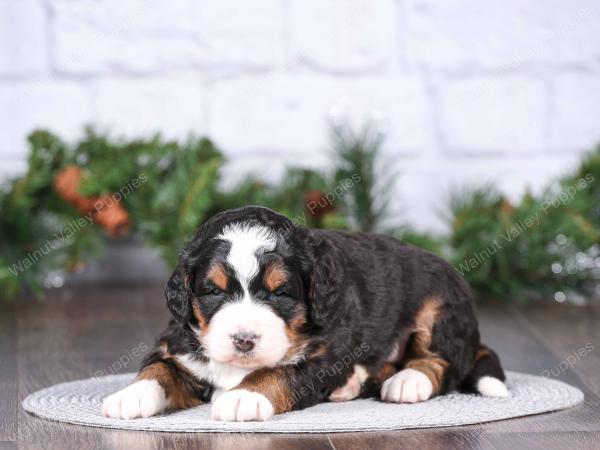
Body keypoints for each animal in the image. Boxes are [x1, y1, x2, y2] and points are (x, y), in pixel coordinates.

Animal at [102, 206, 506, 420]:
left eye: (281, 293)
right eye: (213, 291)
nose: (244, 340)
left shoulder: (324, 356)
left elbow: (277, 373)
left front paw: (244, 397)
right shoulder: (180, 343)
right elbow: (159, 368)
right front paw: (130, 395)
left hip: (438, 304)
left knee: (441, 362)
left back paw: (408, 381)